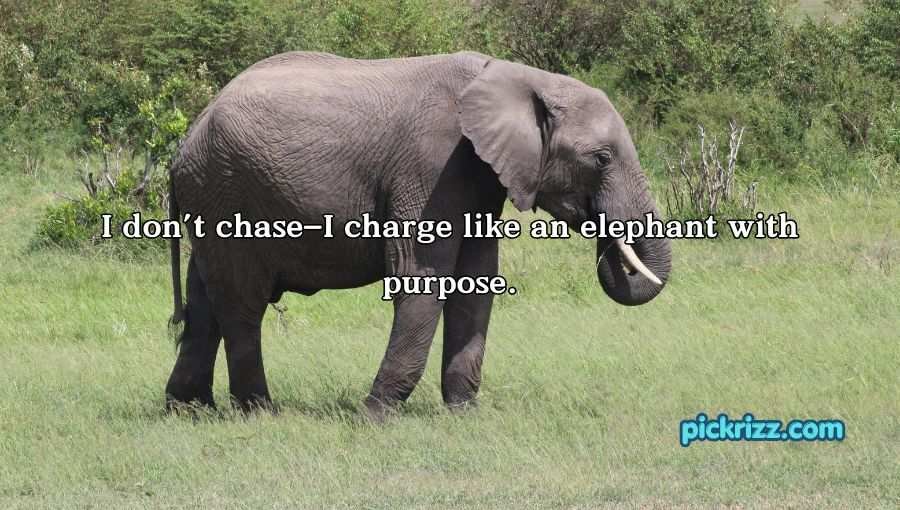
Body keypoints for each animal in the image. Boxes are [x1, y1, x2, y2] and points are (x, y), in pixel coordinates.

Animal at [164, 51, 671, 417]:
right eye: (601, 158)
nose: (609, 252)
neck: (524, 78)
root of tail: (185, 142)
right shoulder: (431, 165)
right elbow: (422, 275)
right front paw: (373, 416)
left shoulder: (479, 176)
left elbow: (476, 281)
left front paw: (464, 414)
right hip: (229, 191)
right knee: (242, 302)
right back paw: (260, 413)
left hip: (212, 198)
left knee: (204, 300)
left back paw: (189, 411)